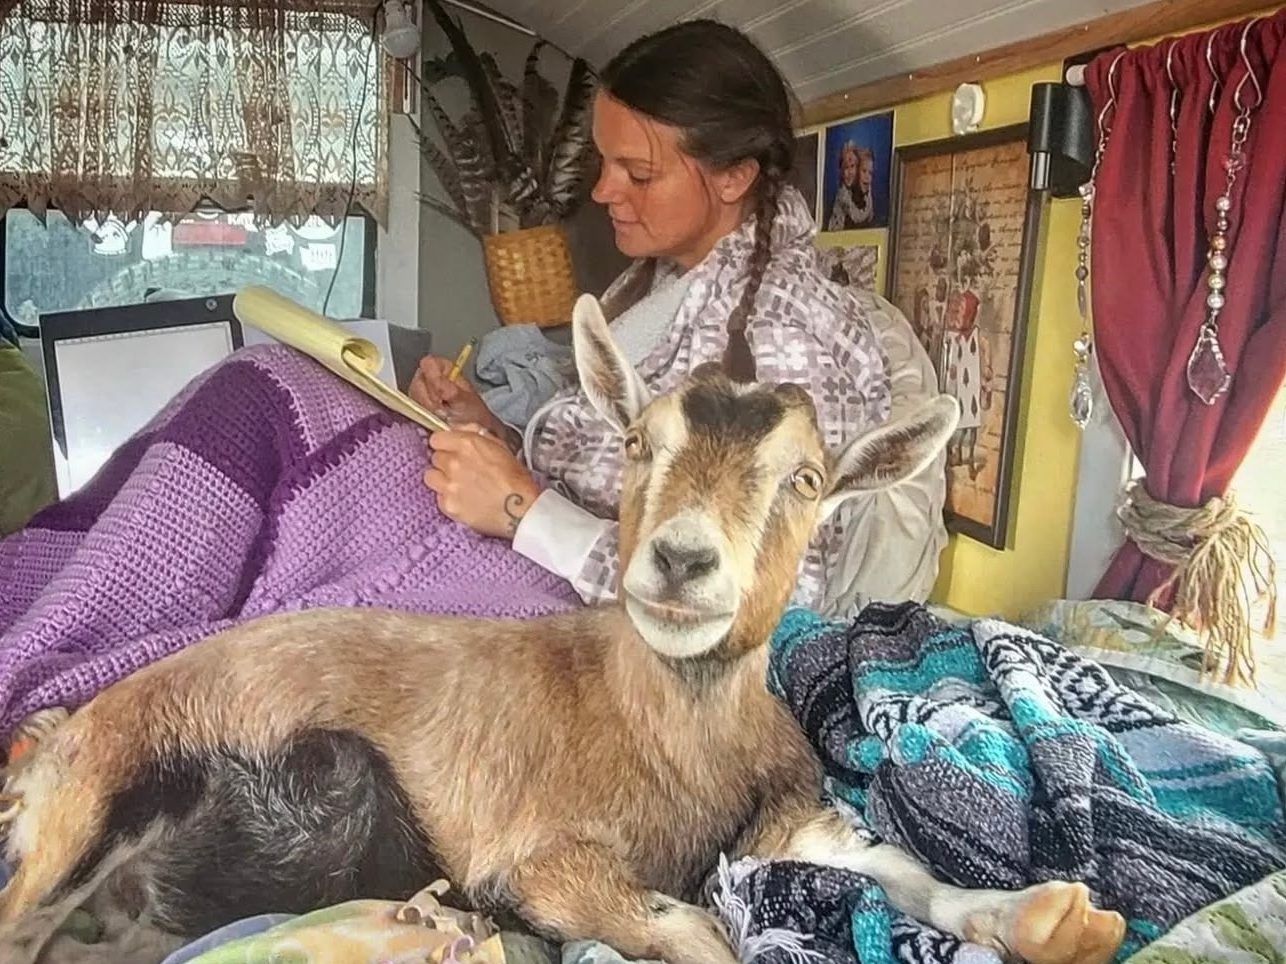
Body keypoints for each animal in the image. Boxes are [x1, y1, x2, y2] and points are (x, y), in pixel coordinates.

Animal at [0, 294, 1126, 964]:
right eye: (638, 441)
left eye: (806, 478)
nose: (681, 560)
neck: (669, 736)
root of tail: (59, 737)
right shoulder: (543, 862)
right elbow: (698, 932)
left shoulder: (786, 819)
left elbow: (898, 865)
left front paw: (1051, 918)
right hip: (94, 812)